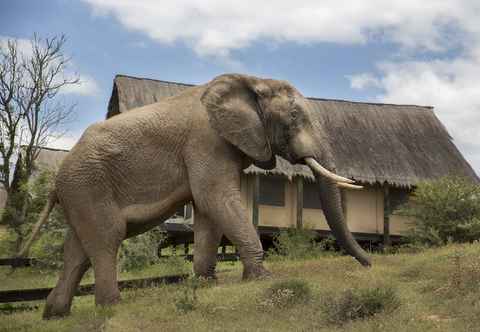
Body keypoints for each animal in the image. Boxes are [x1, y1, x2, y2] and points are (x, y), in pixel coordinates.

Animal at [17, 73, 372, 320]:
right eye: (294, 119)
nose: (369, 264)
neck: (252, 81)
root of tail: (56, 178)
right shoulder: (207, 141)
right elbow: (216, 197)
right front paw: (262, 278)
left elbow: (207, 209)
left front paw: (205, 283)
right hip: (88, 184)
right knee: (106, 238)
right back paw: (111, 307)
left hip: (80, 191)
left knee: (77, 249)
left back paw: (55, 315)